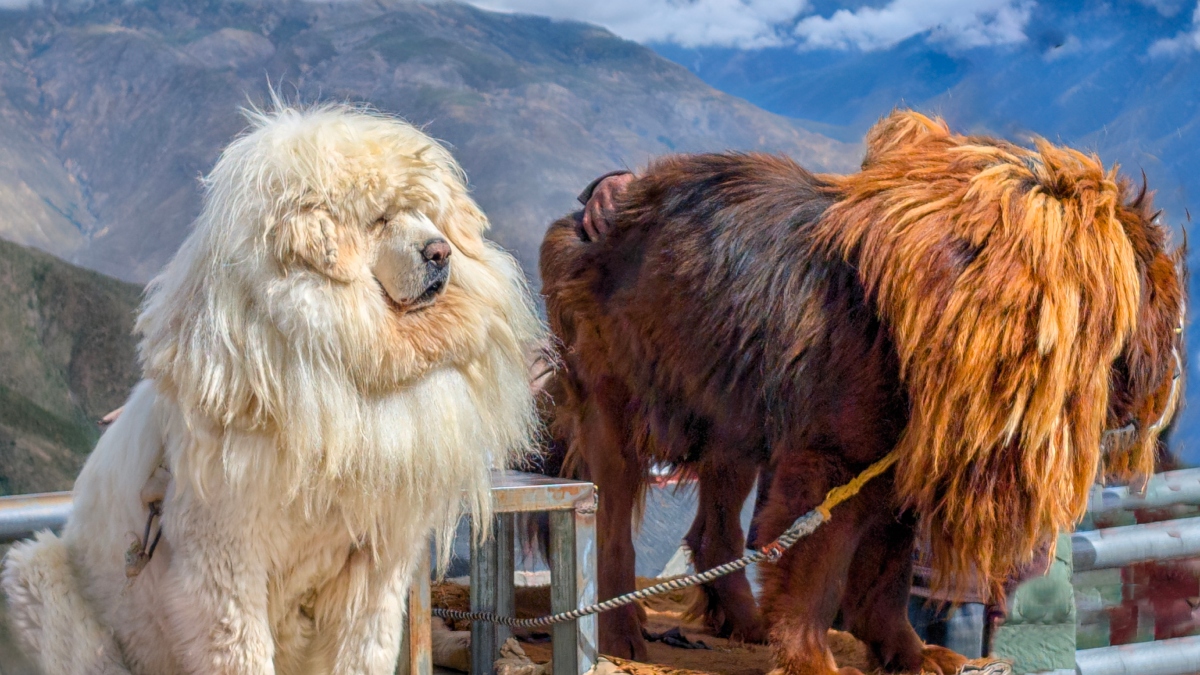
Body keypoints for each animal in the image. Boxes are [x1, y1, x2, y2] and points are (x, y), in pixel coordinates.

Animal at [1, 105, 544, 672]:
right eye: (380, 219)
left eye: (427, 214)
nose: (440, 252)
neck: (341, 374)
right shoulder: (225, 562)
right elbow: (241, 649)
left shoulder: (378, 561)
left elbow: (365, 648)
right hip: (37, 576)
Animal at [540, 107, 1185, 667]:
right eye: (1161, 303)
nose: (1177, 368)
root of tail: (589, 217)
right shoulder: (830, 466)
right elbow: (816, 575)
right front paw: (810, 659)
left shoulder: (894, 474)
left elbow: (885, 578)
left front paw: (910, 656)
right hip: (616, 410)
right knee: (612, 532)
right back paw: (621, 636)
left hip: (732, 417)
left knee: (715, 534)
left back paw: (742, 625)